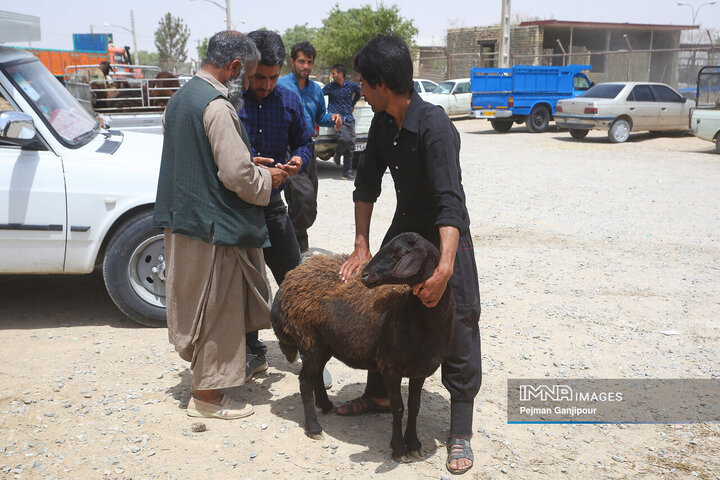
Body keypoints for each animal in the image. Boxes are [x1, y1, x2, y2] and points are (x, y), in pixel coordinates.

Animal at [270, 232, 456, 462]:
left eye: (399, 254)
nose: (365, 275)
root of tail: (290, 277)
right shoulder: (389, 366)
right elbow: (398, 407)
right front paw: (399, 449)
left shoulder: (418, 370)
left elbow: (414, 407)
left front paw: (413, 444)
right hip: (309, 340)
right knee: (305, 381)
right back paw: (314, 428)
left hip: (325, 344)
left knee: (316, 374)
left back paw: (326, 405)